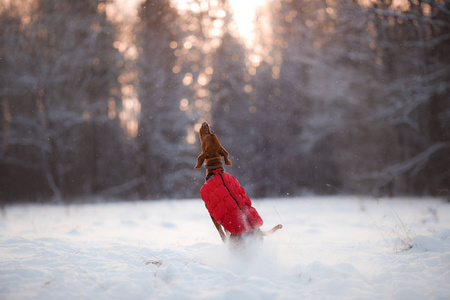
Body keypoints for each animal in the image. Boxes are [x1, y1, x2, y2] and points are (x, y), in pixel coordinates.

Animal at [193, 120, 282, 250]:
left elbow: (221, 233)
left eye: (207, 136)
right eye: (211, 133)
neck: (216, 170)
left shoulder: (212, 214)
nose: (205, 123)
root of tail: (256, 231)